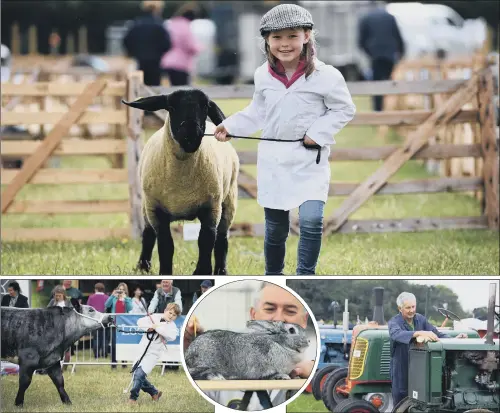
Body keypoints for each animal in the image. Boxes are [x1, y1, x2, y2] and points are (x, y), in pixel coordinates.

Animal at [121, 91, 238, 276]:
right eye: (171, 107)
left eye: (205, 106)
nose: (191, 134)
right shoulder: (156, 210)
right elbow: (165, 244)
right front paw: (165, 272)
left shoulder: (211, 208)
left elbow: (206, 241)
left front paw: (202, 271)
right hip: (146, 207)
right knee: (148, 234)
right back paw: (143, 267)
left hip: (229, 200)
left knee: (222, 239)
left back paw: (221, 271)